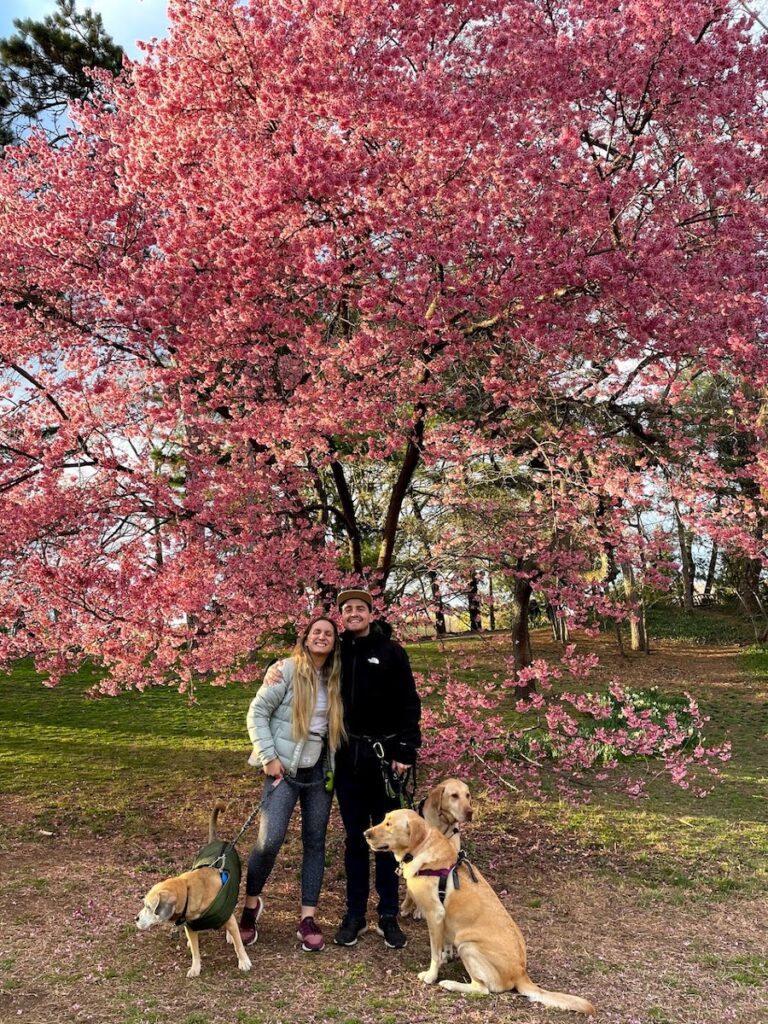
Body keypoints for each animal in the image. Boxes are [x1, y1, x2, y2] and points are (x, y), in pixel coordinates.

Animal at [134, 798, 250, 974]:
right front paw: (195, 968)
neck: (189, 890)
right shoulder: (190, 926)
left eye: (149, 907)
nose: (136, 918)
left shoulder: (227, 918)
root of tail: (216, 841)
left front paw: (244, 961)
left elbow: (239, 944)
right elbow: (195, 951)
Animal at [364, 806, 593, 1015]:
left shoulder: (434, 915)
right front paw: (447, 956)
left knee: (482, 989)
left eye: (389, 824)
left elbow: (435, 953)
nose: (365, 834)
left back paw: (450, 984)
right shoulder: (444, 920)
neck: (421, 851)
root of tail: (521, 973)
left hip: (468, 946)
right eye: (383, 819)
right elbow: (445, 945)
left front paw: (431, 976)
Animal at [399, 774, 473, 921]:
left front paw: (419, 910)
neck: (442, 824)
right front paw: (406, 907)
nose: (470, 812)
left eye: (467, 795)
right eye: (454, 795)